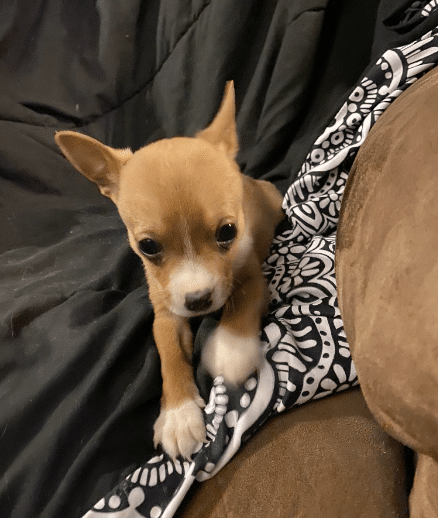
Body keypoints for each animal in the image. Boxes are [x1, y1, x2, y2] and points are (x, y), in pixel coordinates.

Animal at [54, 81, 286, 460]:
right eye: (148, 246)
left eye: (228, 232)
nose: (199, 300)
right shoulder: (166, 313)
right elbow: (169, 354)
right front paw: (179, 414)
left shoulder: (252, 280)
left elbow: (242, 304)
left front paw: (231, 349)